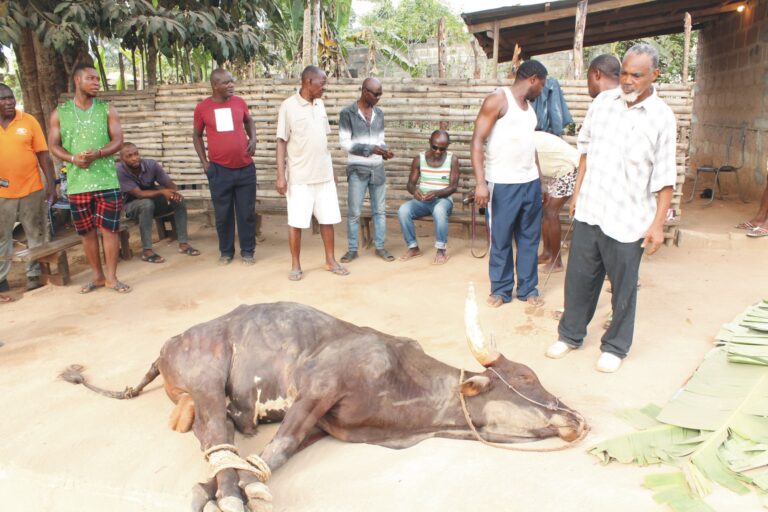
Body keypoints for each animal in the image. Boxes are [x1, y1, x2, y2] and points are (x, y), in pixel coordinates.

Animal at [62, 288, 587, 512]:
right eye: (524, 375)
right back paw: (230, 496)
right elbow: (273, 450)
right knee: (217, 436)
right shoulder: (316, 391)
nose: (576, 419)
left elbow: (263, 457)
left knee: (215, 445)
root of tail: (166, 346)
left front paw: (219, 488)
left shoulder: (323, 425)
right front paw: (243, 492)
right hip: (207, 379)